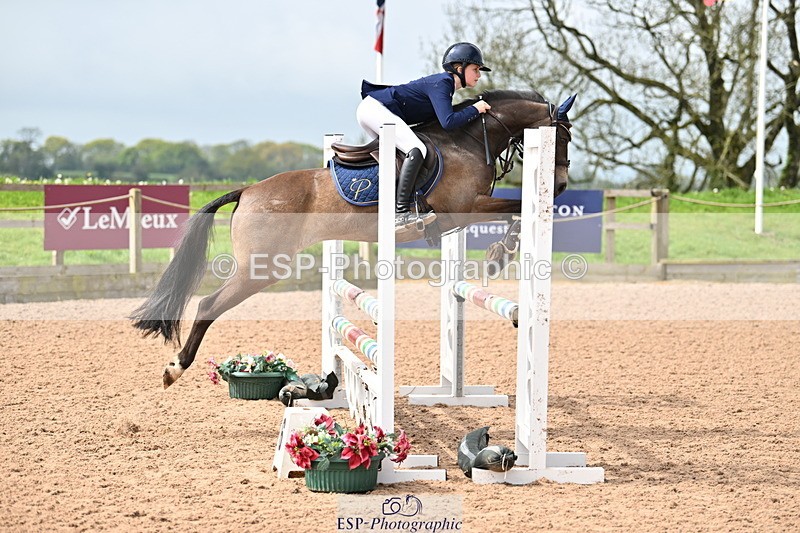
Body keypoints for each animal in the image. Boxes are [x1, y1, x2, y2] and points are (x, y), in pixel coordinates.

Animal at [130, 89, 576, 388]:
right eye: (563, 137)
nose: (559, 186)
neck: (467, 140)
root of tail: (248, 190)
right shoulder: (464, 207)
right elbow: (517, 207)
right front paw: (502, 252)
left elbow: (515, 208)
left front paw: (502, 251)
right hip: (262, 268)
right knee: (208, 305)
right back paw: (174, 368)